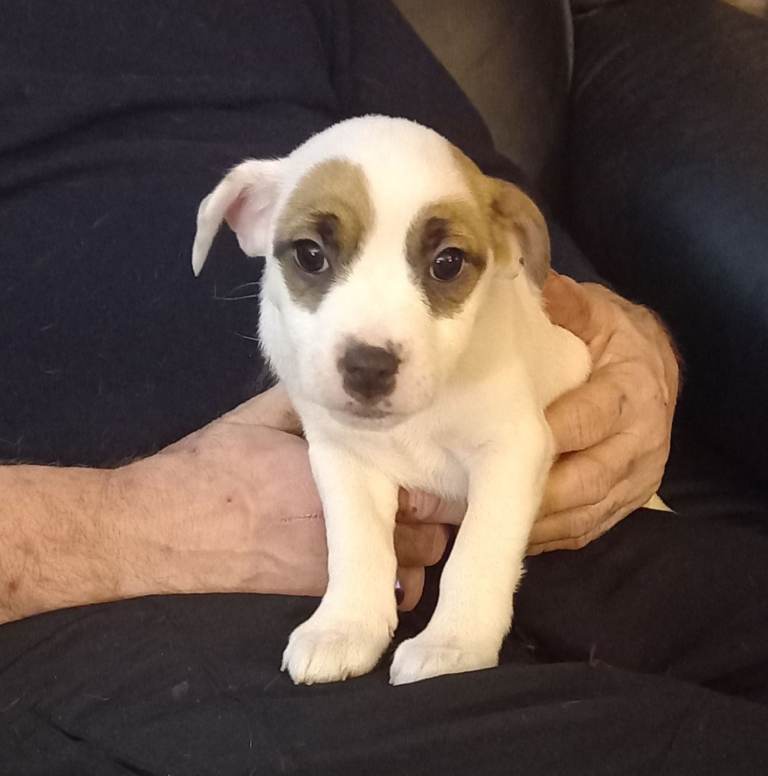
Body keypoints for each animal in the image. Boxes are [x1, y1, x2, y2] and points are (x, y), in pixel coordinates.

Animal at [192, 116, 591, 685]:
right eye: (310, 254)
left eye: (447, 263)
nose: (368, 367)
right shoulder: (344, 459)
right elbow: (355, 543)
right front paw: (344, 627)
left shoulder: (513, 451)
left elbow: (478, 550)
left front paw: (454, 644)